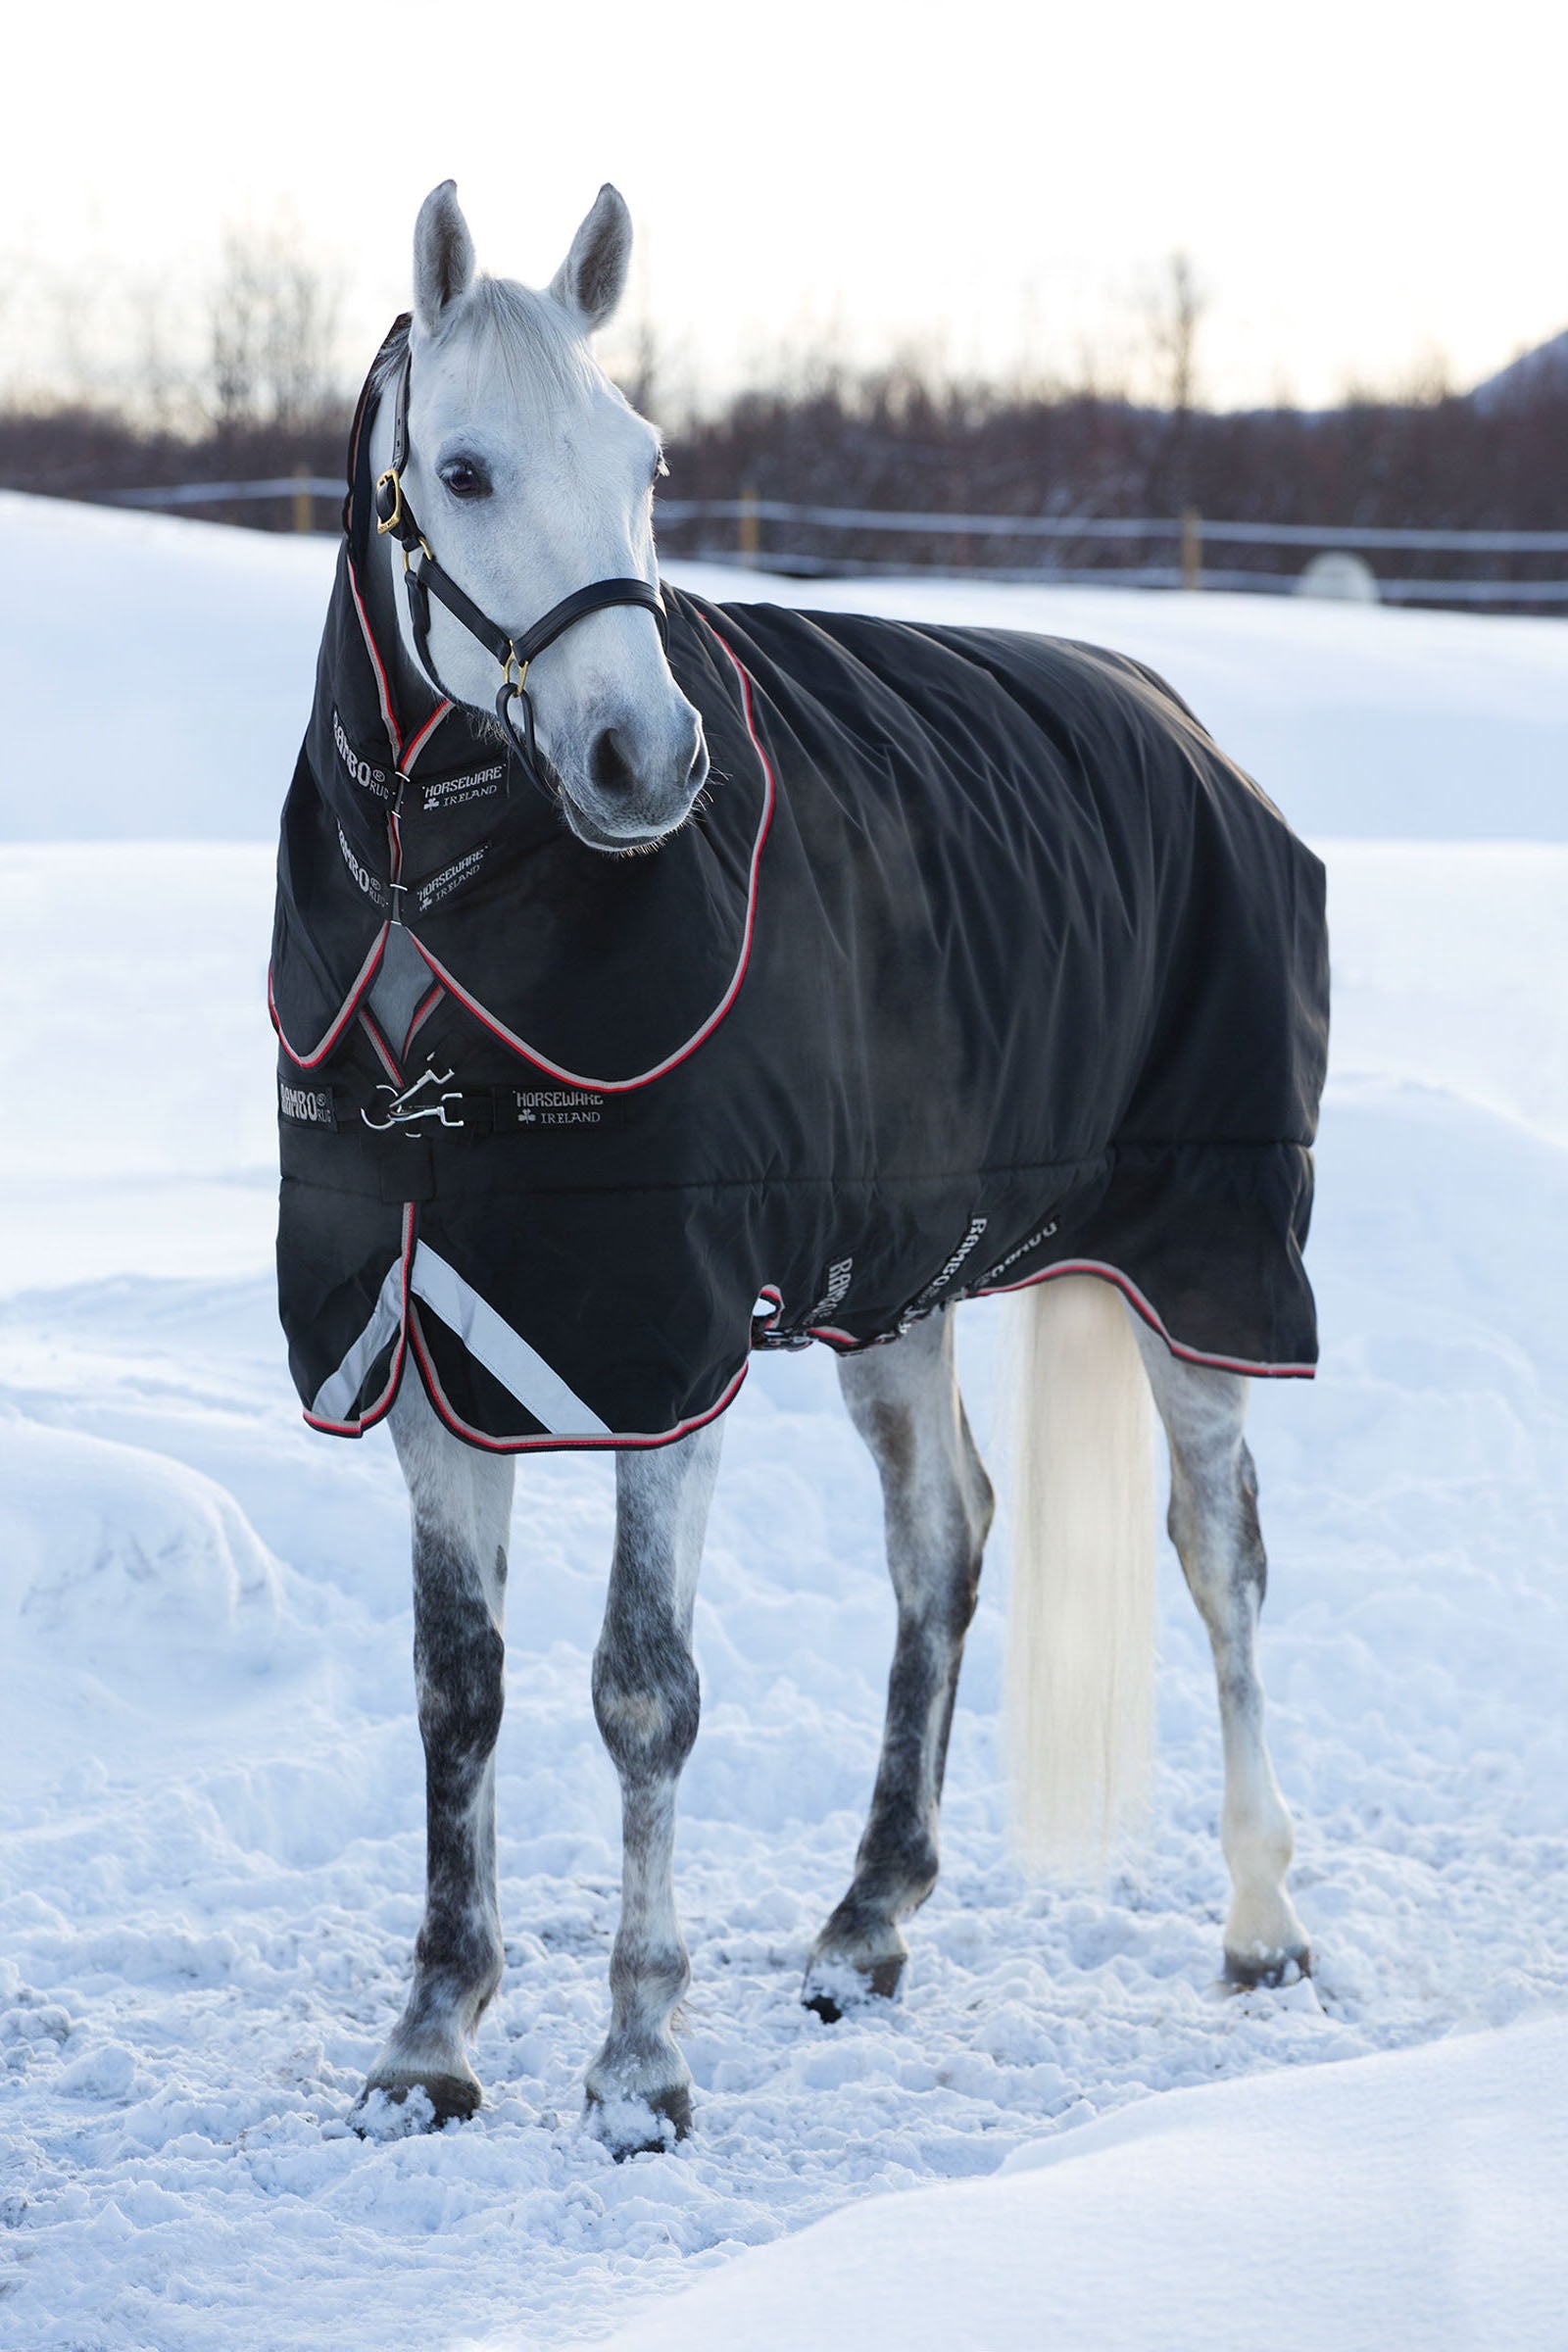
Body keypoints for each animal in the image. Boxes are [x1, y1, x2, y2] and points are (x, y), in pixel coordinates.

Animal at [270, 180, 1324, 2152]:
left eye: (646, 461)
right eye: (460, 470)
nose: (644, 758)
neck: (443, 939)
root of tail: (1188, 725)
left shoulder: (659, 1356)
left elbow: (641, 1693)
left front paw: (638, 2067)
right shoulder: (436, 1341)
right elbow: (461, 1694)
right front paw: (431, 2041)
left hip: (1204, 1265)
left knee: (1221, 1559)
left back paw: (1264, 1924)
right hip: (896, 1285)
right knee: (947, 1543)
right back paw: (866, 1923)